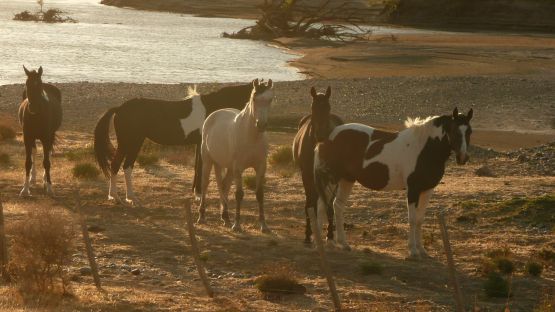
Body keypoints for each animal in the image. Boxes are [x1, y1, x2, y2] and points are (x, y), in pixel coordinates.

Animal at [18, 65, 62, 197]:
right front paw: (25, 189)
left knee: (48, 153)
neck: (36, 116)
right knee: (35, 151)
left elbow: (46, 162)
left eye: (39, 85)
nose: (33, 108)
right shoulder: (27, 137)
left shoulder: (46, 137)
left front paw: (49, 188)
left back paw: (44, 179)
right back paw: (33, 178)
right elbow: (28, 162)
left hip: (51, 135)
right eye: (27, 84)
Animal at [94, 81, 254, 206]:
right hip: (132, 142)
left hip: (130, 143)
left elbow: (196, 168)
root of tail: (120, 108)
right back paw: (122, 197)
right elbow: (200, 169)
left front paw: (195, 193)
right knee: (121, 166)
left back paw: (122, 197)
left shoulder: (198, 145)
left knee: (121, 166)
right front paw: (199, 196)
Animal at [200, 79, 276, 233]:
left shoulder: (261, 167)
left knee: (224, 185)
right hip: (208, 161)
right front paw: (237, 225)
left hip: (227, 167)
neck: (251, 137)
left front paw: (264, 225)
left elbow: (260, 194)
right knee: (205, 184)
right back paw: (202, 216)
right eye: (254, 98)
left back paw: (225, 217)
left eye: (270, 99)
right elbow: (239, 194)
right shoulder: (238, 169)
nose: (261, 124)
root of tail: (213, 115)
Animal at [292, 86, 344, 245]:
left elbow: (329, 203)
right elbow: (310, 203)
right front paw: (308, 234)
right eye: (313, 107)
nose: (321, 135)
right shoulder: (307, 176)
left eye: (328, 107)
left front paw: (330, 234)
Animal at [314, 107, 476, 258]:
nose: (463, 157)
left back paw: (343, 243)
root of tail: (329, 136)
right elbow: (412, 219)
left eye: (469, 131)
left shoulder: (427, 190)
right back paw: (321, 243)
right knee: (323, 205)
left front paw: (422, 251)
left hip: (347, 179)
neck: (424, 149)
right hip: (332, 178)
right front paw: (413, 251)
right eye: (454, 130)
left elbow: (419, 220)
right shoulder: (413, 189)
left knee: (337, 205)